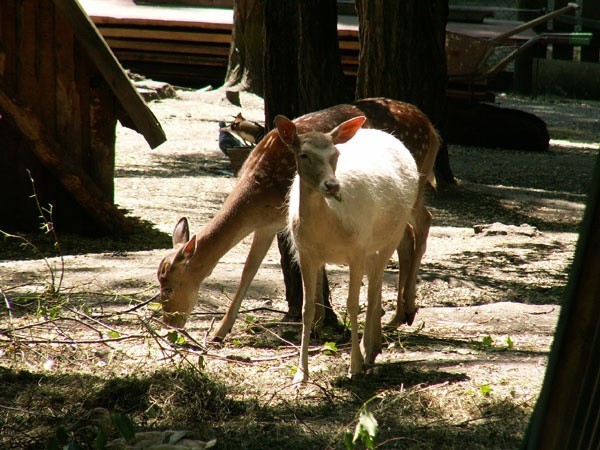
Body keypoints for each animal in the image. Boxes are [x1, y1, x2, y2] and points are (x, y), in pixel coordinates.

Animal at [157, 96, 438, 340]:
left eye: (168, 286)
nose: (170, 325)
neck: (259, 191)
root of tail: (432, 129)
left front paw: (317, 326)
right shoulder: (268, 224)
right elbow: (250, 269)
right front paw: (220, 332)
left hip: (415, 183)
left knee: (424, 220)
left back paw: (407, 309)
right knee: (406, 236)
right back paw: (396, 316)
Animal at [276, 114, 420, 382]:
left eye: (336, 154)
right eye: (303, 154)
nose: (332, 185)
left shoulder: (356, 250)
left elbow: (353, 304)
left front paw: (353, 366)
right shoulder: (305, 252)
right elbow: (308, 308)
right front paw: (301, 374)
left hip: (390, 234)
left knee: (373, 291)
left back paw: (367, 352)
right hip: (370, 246)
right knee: (376, 285)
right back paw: (373, 349)